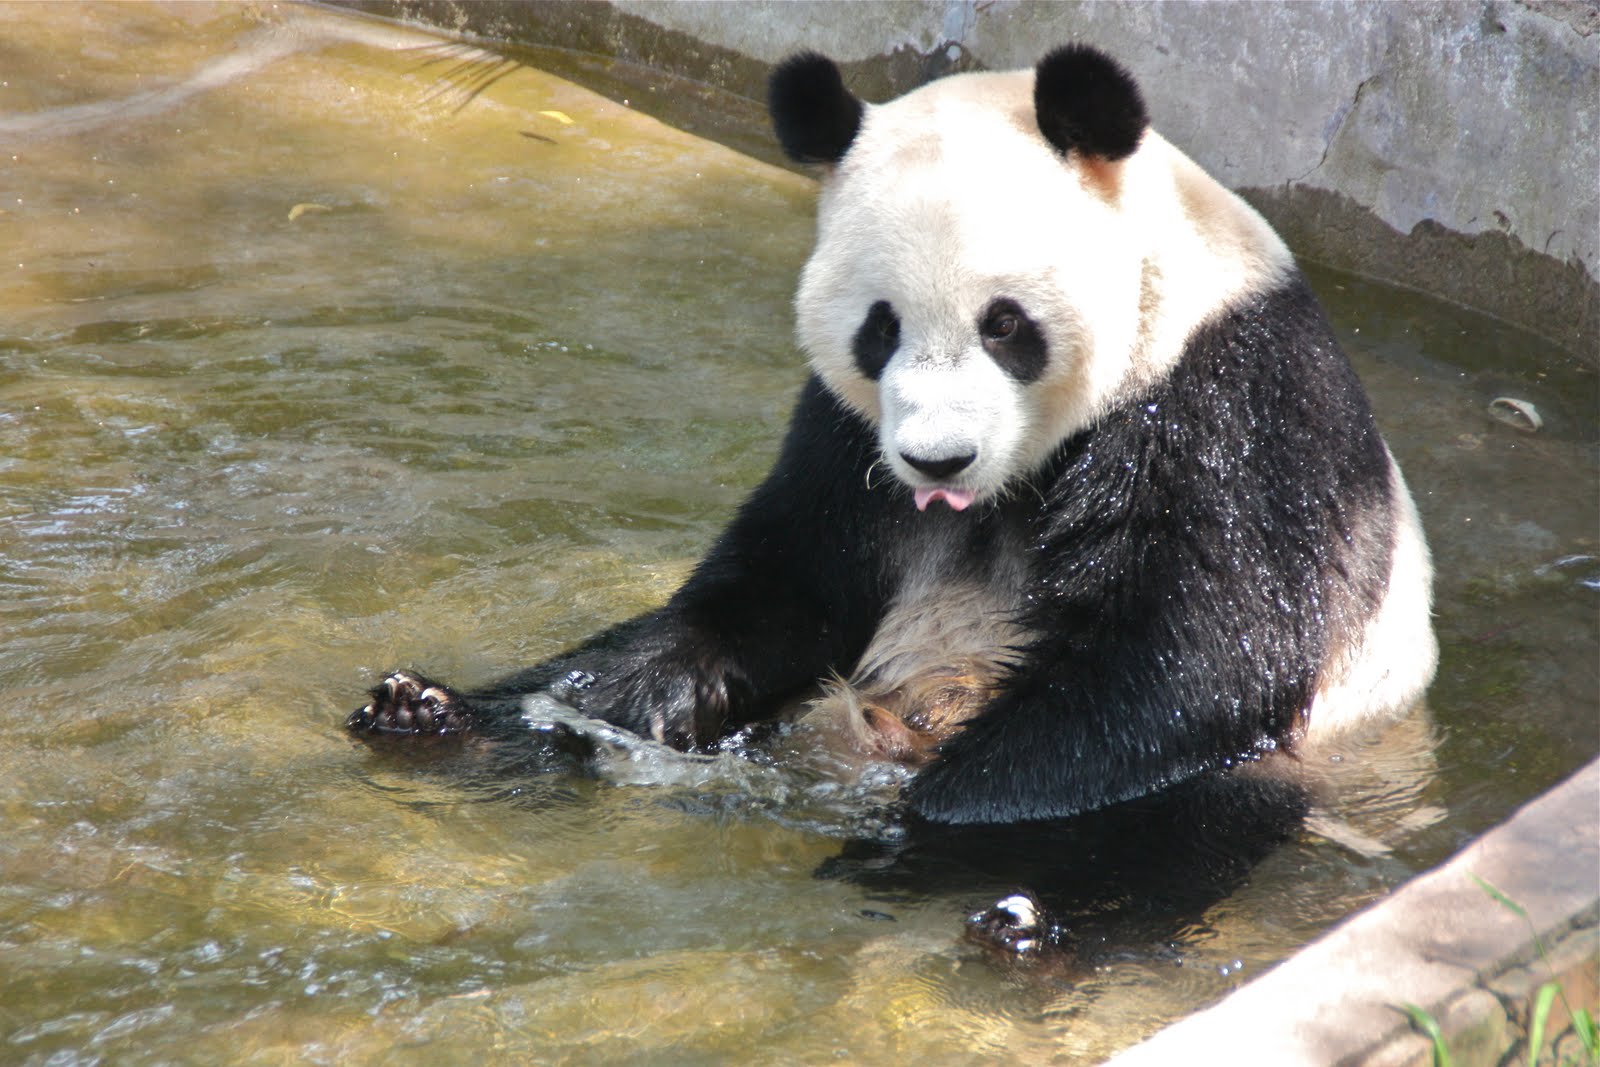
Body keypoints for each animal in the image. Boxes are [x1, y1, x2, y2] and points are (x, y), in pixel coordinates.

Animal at [347, 43, 1440, 831]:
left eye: (1006, 322)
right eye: (880, 328)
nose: (936, 460)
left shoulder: (1228, 400)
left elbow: (1196, 654)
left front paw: (936, 806)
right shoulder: (846, 439)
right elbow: (776, 594)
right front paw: (504, 710)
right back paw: (436, 714)